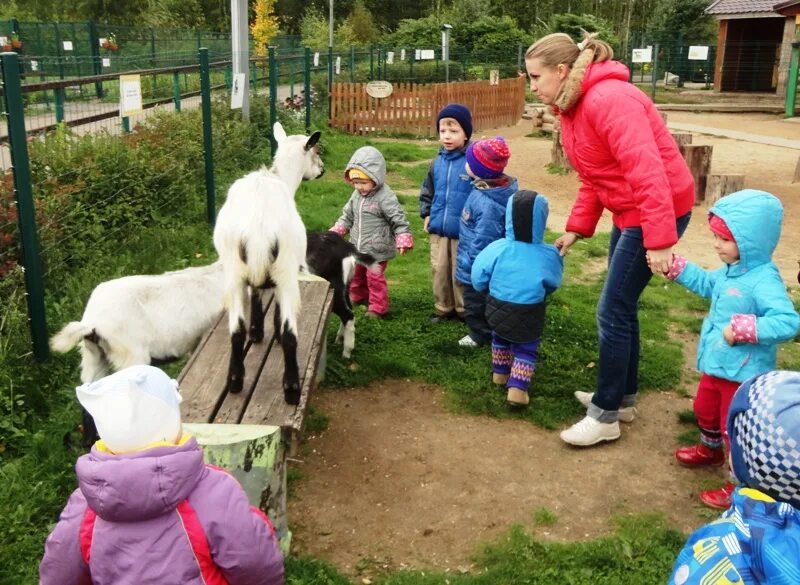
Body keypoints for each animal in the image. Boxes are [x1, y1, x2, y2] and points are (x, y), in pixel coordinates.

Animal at [216, 122, 324, 406]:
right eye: (316, 151)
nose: (322, 170)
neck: (280, 177)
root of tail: (259, 230)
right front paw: (265, 330)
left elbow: (255, 293)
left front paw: (256, 332)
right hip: (286, 271)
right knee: (290, 334)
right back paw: (292, 389)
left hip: (232, 272)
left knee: (235, 331)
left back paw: (235, 380)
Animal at [308, 230, 380, 358]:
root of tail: (348, 249)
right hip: (344, 287)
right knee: (349, 309)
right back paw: (339, 340)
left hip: (333, 288)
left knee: (348, 315)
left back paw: (346, 353)